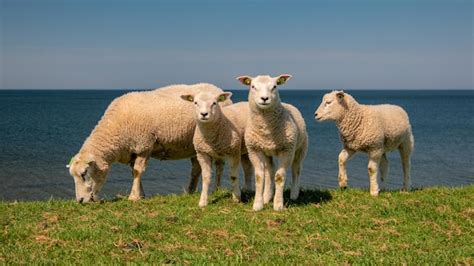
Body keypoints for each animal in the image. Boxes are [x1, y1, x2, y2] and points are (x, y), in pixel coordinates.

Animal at [66, 84, 233, 203]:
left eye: (84, 174)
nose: (80, 201)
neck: (116, 128)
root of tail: (218, 89)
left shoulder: (144, 145)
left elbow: (137, 171)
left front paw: (133, 197)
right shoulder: (132, 151)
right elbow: (133, 172)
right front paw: (141, 194)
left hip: (217, 137)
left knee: (219, 165)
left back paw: (217, 190)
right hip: (194, 145)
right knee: (196, 168)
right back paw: (190, 191)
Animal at [236, 74, 308, 211]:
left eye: (274, 86)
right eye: (253, 86)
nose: (264, 98)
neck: (266, 131)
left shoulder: (287, 150)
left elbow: (279, 177)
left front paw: (278, 205)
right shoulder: (254, 150)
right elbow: (259, 177)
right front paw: (258, 204)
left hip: (300, 148)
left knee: (296, 169)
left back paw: (294, 194)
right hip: (267, 151)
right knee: (269, 170)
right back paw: (267, 196)